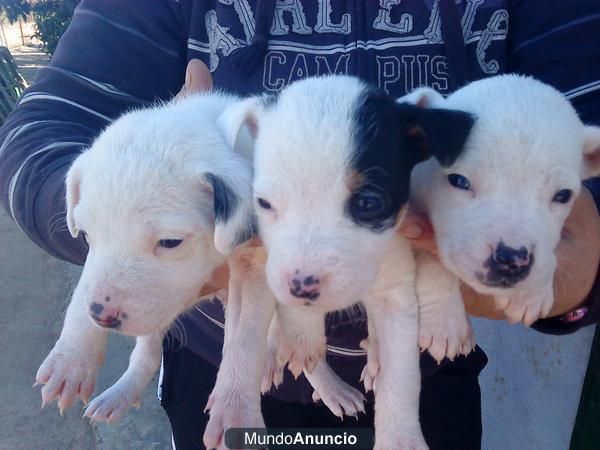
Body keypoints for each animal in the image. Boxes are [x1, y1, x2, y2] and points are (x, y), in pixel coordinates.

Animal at [218, 75, 476, 448]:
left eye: (368, 203)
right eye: (263, 203)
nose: (301, 287)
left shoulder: (396, 296)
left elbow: (401, 379)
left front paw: (399, 438)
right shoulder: (266, 261)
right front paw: (302, 336)